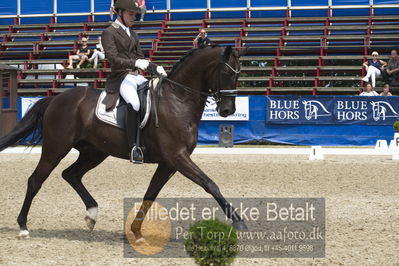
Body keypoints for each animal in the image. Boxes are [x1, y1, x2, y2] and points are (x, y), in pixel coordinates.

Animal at [0, 45, 248, 239]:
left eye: (238, 74)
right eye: (226, 73)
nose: (228, 110)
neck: (178, 100)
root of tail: (55, 98)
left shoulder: (168, 163)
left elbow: (150, 194)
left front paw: (136, 231)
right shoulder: (177, 156)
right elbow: (210, 184)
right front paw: (239, 221)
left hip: (94, 152)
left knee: (71, 174)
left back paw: (92, 215)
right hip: (56, 148)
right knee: (35, 180)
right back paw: (23, 226)